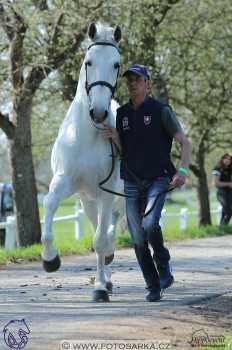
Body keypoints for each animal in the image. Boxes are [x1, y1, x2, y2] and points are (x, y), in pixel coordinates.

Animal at [41, 21, 123, 300]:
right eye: (89, 62)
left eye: (116, 64)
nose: (98, 113)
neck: (88, 134)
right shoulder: (64, 182)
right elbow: (49, 204)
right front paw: (50, 259)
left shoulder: (107, 193)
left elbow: (99, 240)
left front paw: (99, 289)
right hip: (87, 201)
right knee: (100, 227)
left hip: (113, 200)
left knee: (107, 232)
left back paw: (105, 279)